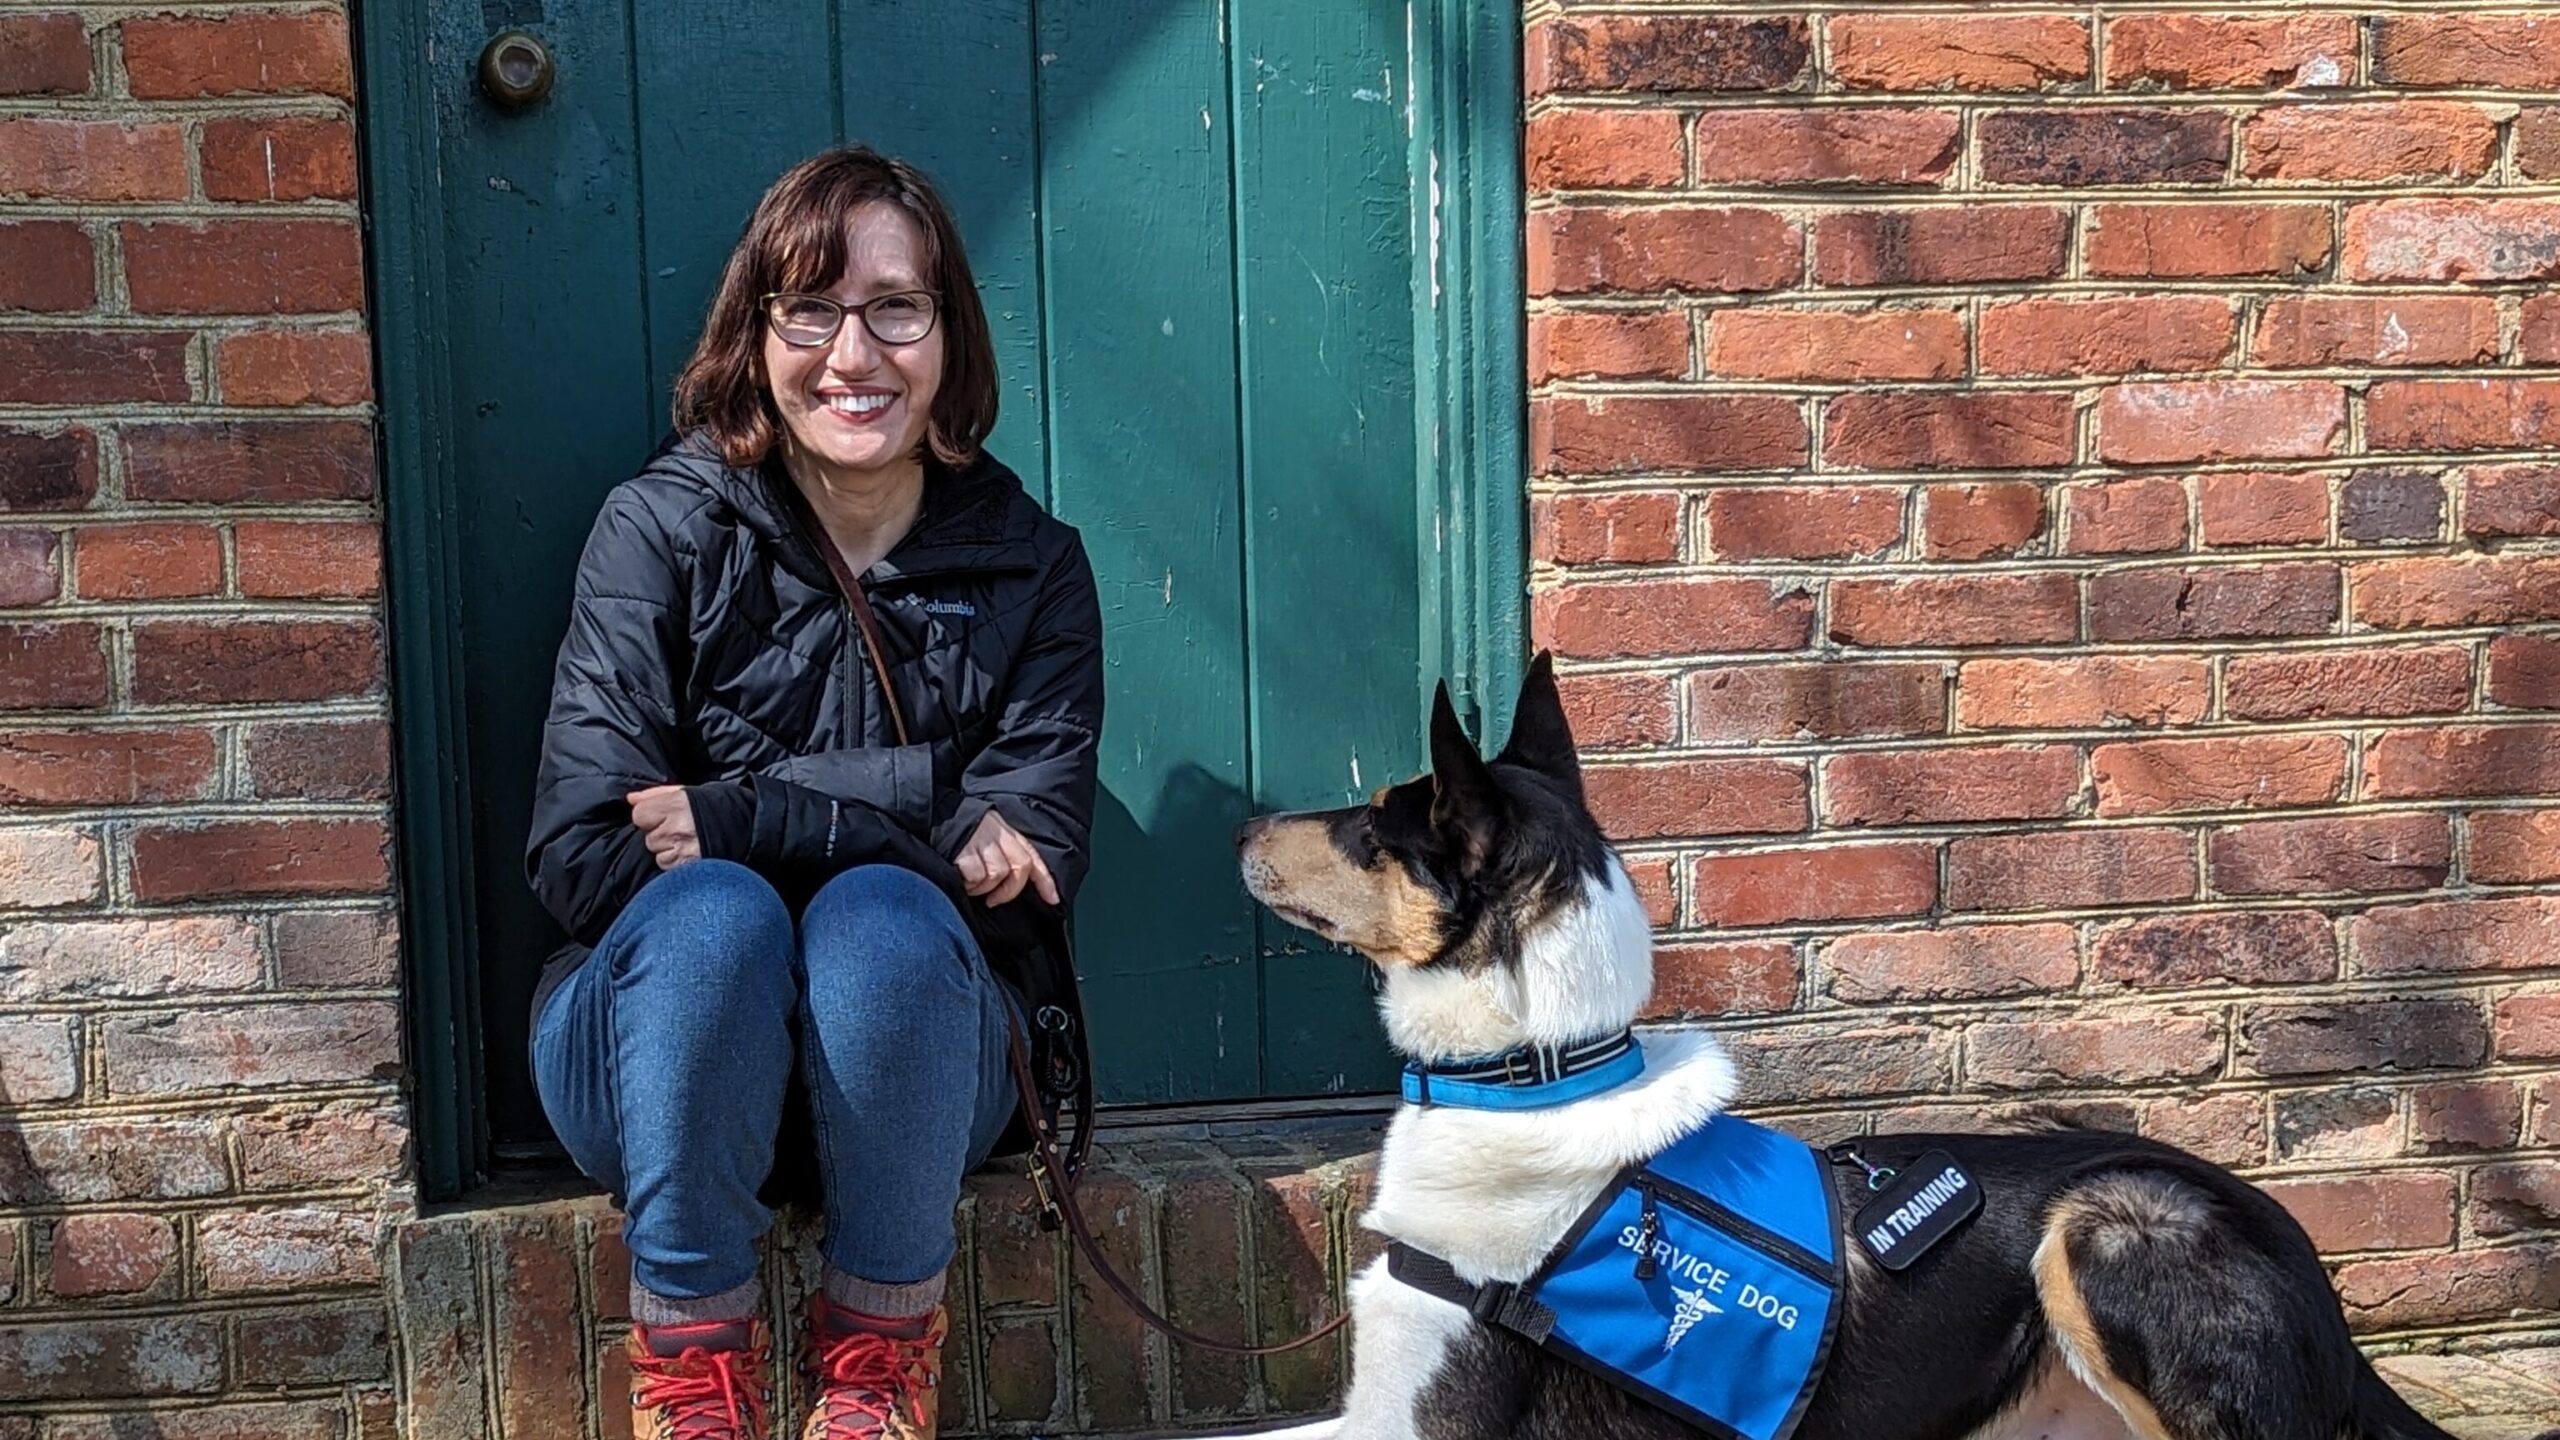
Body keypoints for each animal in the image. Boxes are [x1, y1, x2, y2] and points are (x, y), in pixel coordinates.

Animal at [1228, 655, 2508, 1434]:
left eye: (1371, 828)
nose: (1239, 824)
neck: (1530, 1084)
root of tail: (2320, 1289)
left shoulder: (1424, 1411)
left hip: (2104, 1222)